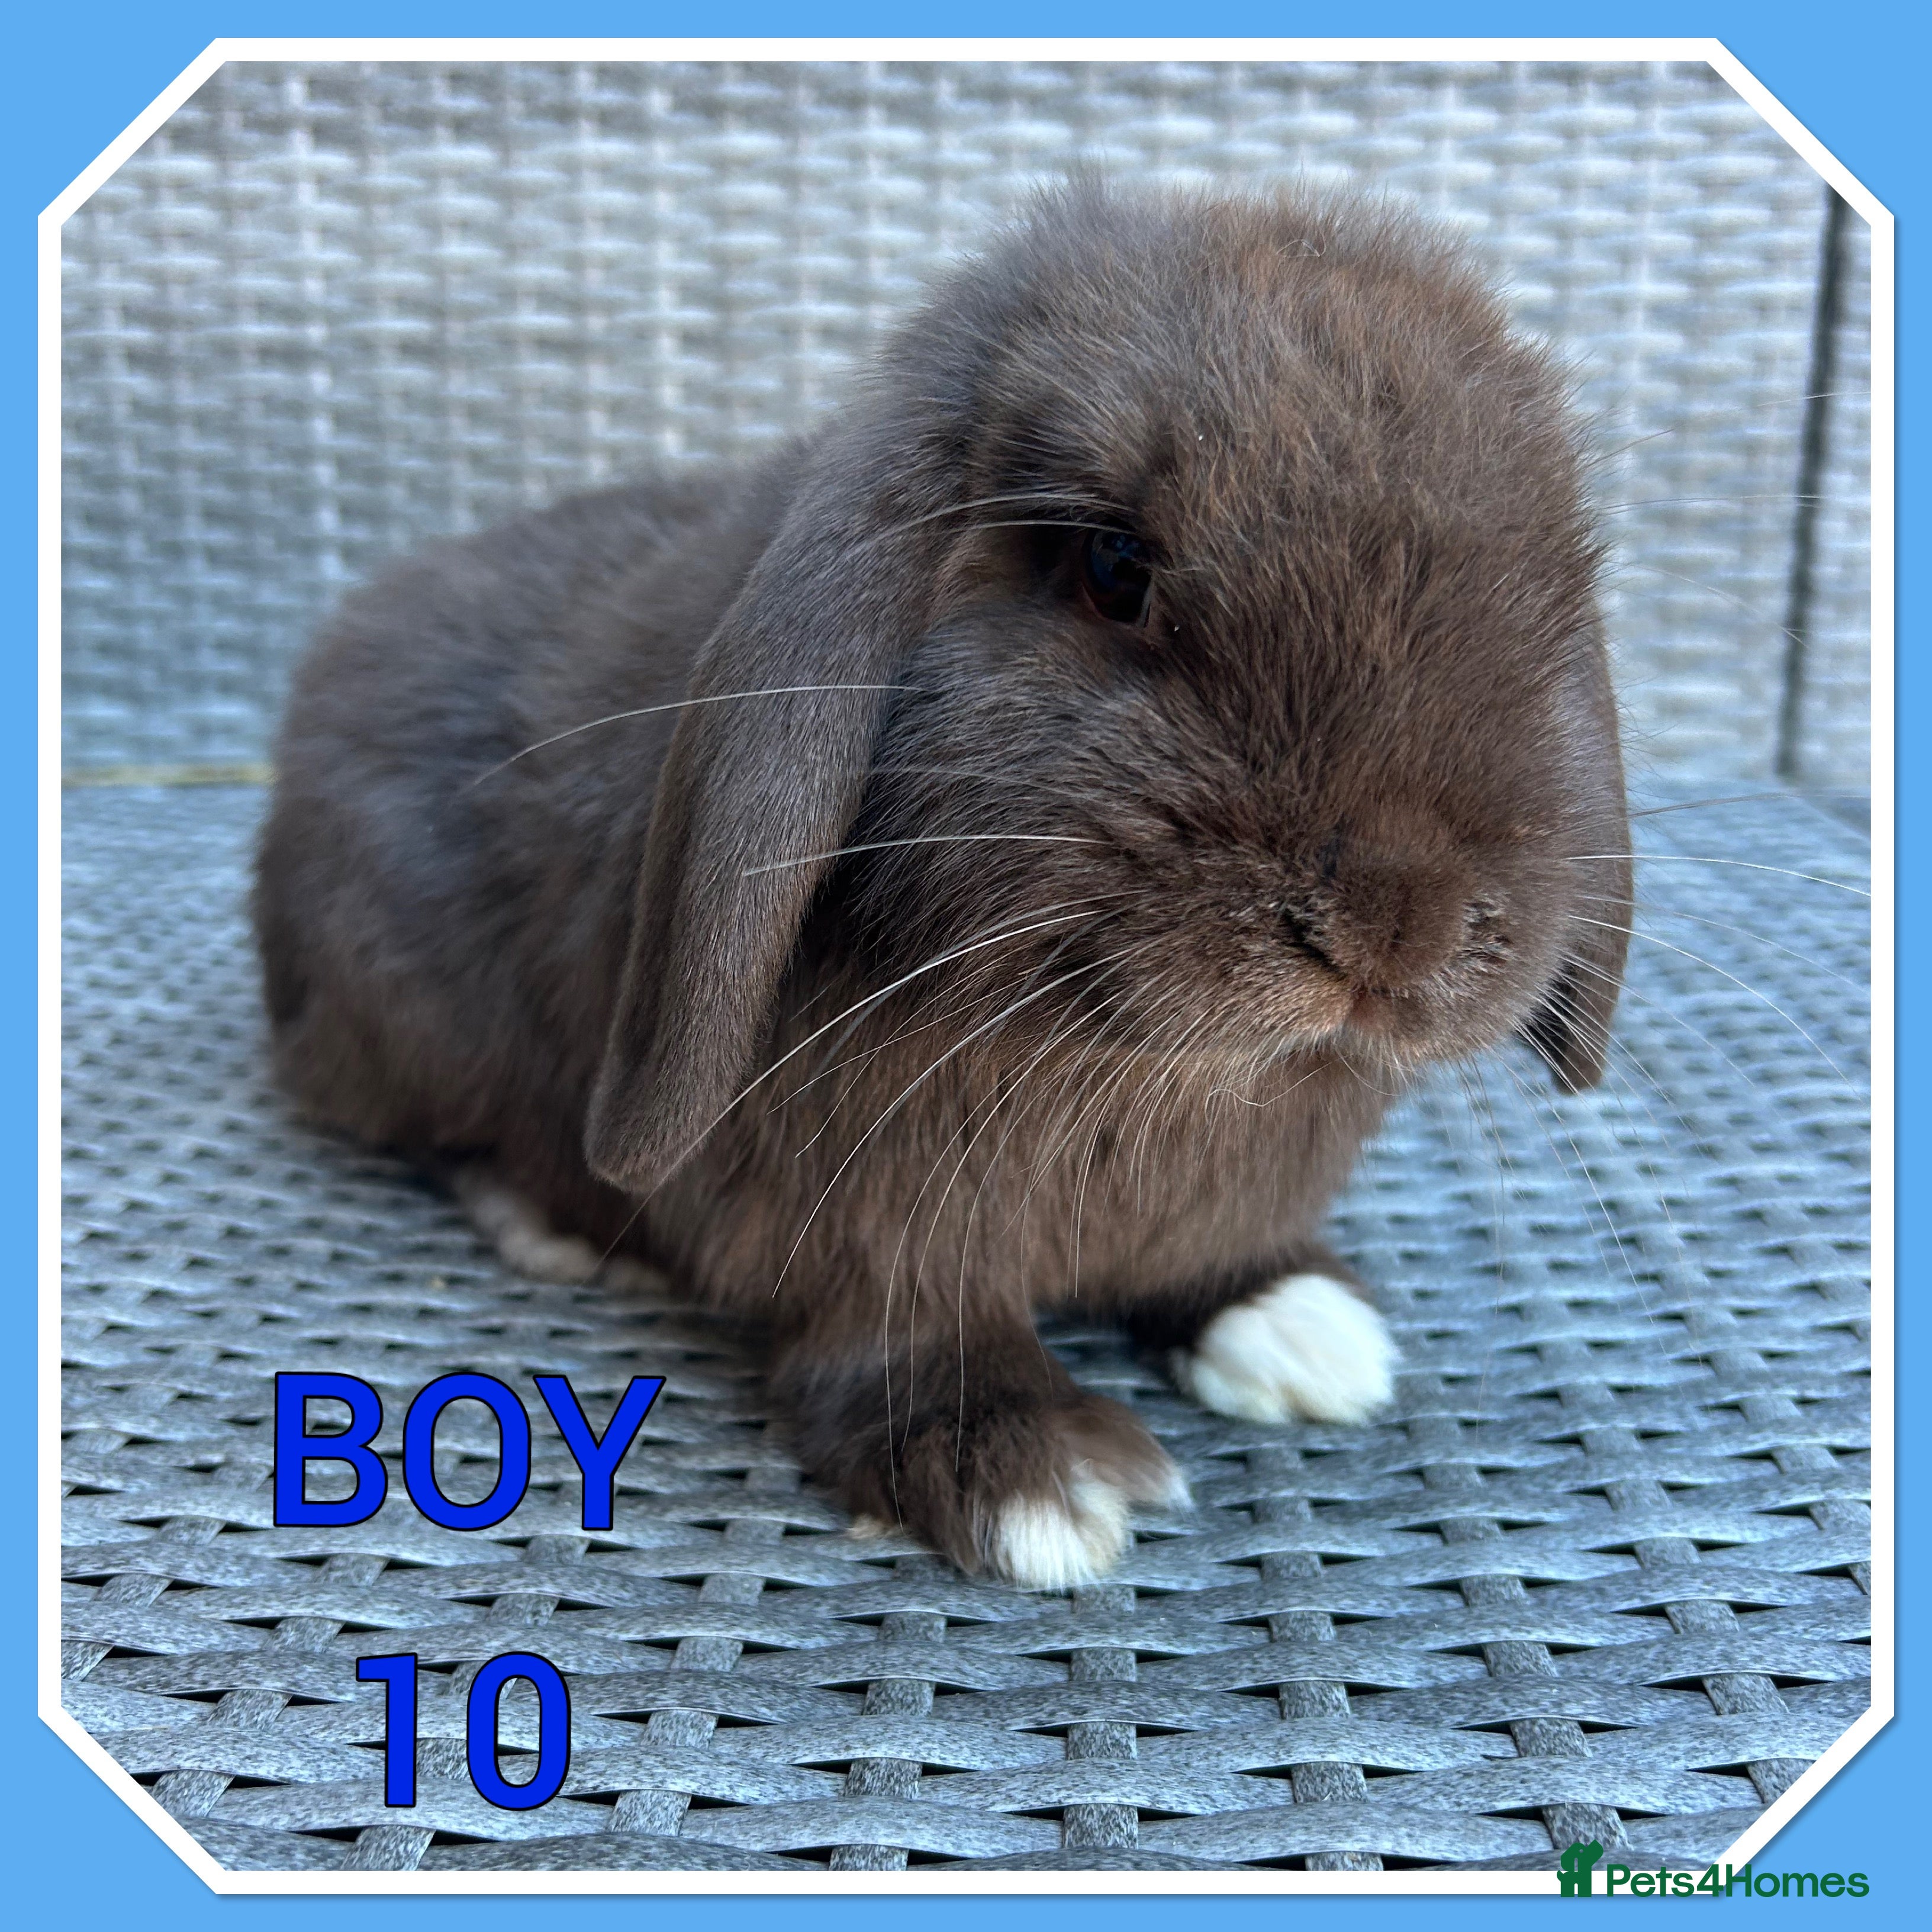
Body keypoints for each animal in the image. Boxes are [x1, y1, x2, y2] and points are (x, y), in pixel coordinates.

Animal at [254, 184, 1631, 1591]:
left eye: (1549, 594)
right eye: (1113, 568)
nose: (1393, 926)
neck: (1150, 1072)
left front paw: (1293, 1322)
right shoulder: (856, 1228)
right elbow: (900, 1332)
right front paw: (1031, 1475)